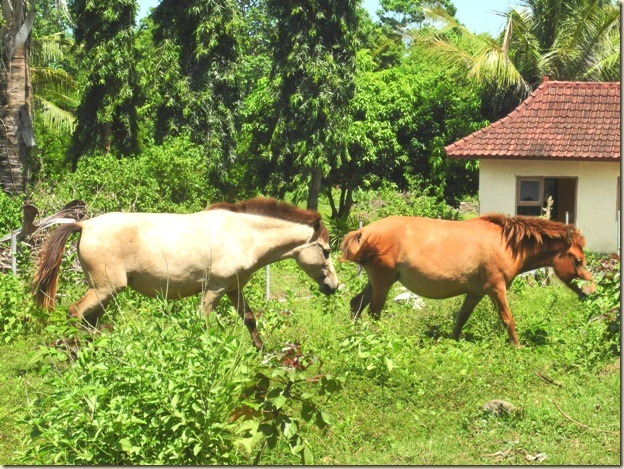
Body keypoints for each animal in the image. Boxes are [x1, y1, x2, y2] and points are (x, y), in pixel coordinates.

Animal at [31, 195, 338, 348]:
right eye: (326, 251)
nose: (334, 286)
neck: (243, 234)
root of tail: (84, 225)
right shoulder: (215, 289)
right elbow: (202, 322)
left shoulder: (234, 289)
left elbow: (250, 319)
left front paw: (263, 352)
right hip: (104, 289)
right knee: (75, 314)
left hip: (106, 293)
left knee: (90, 321)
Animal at [342, 214, 596, 346]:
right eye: (578, 260)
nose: (591, 291)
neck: (506, 243)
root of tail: (363, 232)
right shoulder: (496, 289)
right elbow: (508, 319)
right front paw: (517, 346)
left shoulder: (476, 293)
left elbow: (461, 319)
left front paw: (451, 342)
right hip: (383, 282)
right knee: (374, 312)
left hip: (375, 282)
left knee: (356, 304)